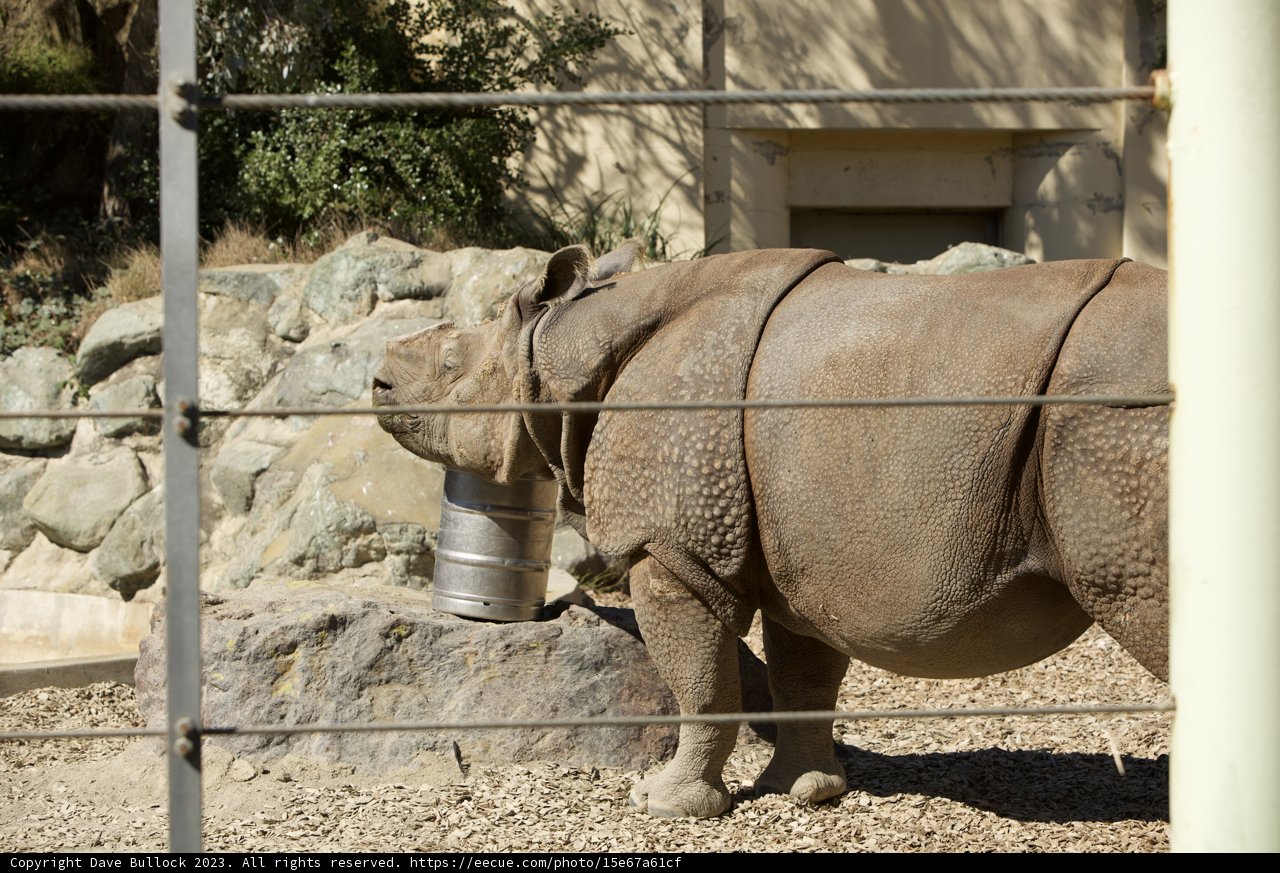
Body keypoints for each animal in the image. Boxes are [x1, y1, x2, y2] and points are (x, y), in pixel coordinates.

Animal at [373, 243, 1168, 819]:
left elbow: (700, 682)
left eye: (452, 367)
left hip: (1113, 420)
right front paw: (806, 791)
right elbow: (802, 673)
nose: (378, 382)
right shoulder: (803, 548)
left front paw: (665, 805)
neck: (561, 347)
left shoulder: (672, 548)